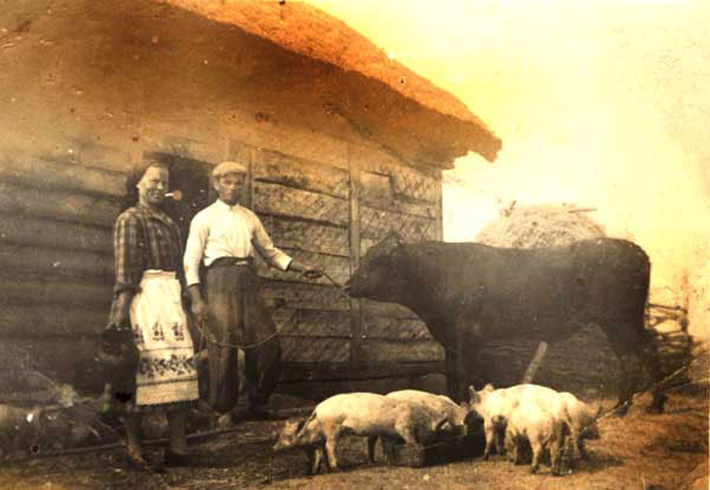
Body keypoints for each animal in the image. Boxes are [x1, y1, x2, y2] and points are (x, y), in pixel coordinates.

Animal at [274, 392, 450, 472]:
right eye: (435, 432)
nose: (273, 447)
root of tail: (318, 408)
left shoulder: (389, 433)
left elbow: (387, 446)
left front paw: (388, 461)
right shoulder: (403, 426)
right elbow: (410, 441)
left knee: (325, 447)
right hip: (333, 427)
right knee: (330, 446)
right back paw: (337, 467)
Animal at [350, 234, 668, 414]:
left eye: (378, 261)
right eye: (365, 257)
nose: (347, 284)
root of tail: (639, 252)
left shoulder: (466, 338)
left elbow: (464, 375)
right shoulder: (451, 341)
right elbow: (452, 375)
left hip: (621, 320)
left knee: (643, 352)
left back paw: (646, 405)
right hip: (617, 324)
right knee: (634, 354)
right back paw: (628, 405)